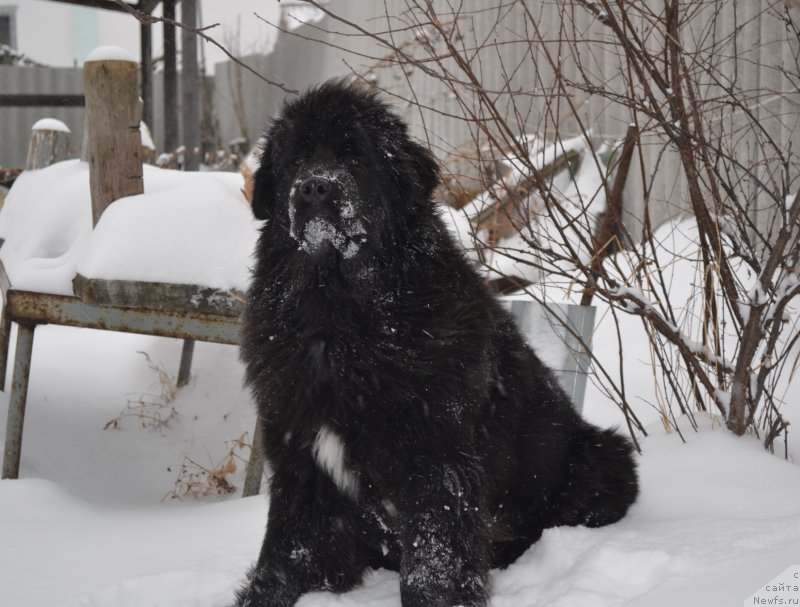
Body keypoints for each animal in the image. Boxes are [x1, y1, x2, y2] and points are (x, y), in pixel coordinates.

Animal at [236, 82, 636, 607]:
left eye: (356, 159)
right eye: (298, 160)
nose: (315, 187)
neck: (338, 313)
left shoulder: (435, 457)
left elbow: (435, 557)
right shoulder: (299, 456)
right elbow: (287, 552)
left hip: (602, 459)